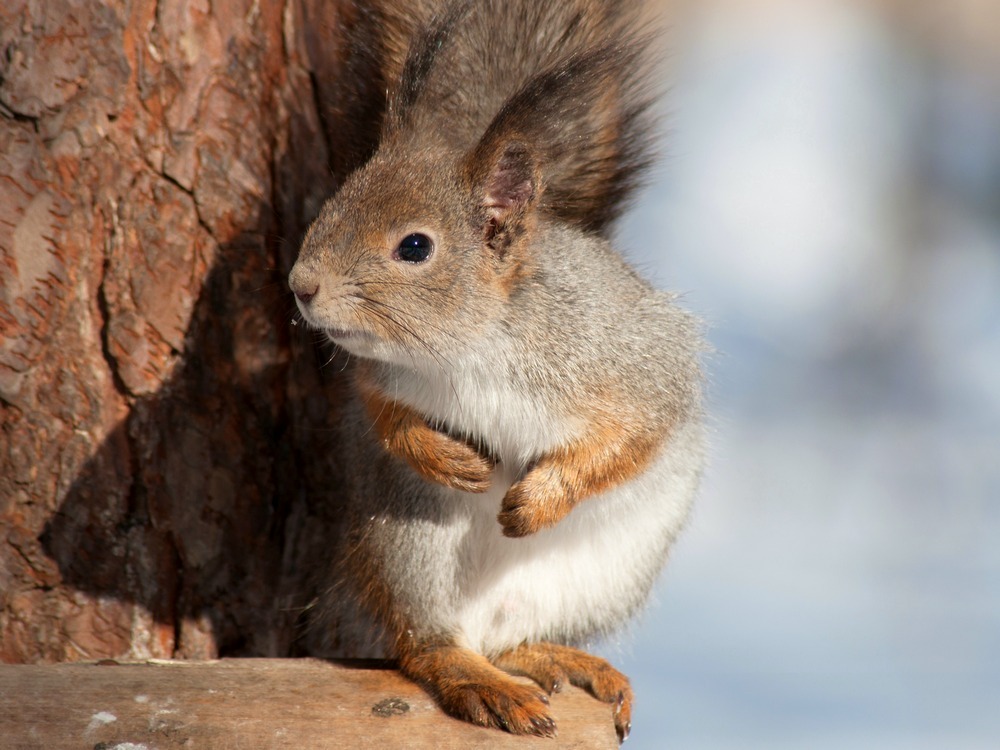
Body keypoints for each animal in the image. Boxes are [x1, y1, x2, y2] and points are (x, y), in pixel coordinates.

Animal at [288, 0, 704, 740]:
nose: (300, 286)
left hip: (607, 569)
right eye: (331, 206)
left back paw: (557, 661)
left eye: (415, 247)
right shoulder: (376, 377)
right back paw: (476, 676)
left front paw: (538, 499)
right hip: (407, 538)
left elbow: (631, 438)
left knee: (509, 638)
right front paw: (447, 456)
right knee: (428, 644)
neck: (469, 349)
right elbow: (385, 420)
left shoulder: (634, 366)